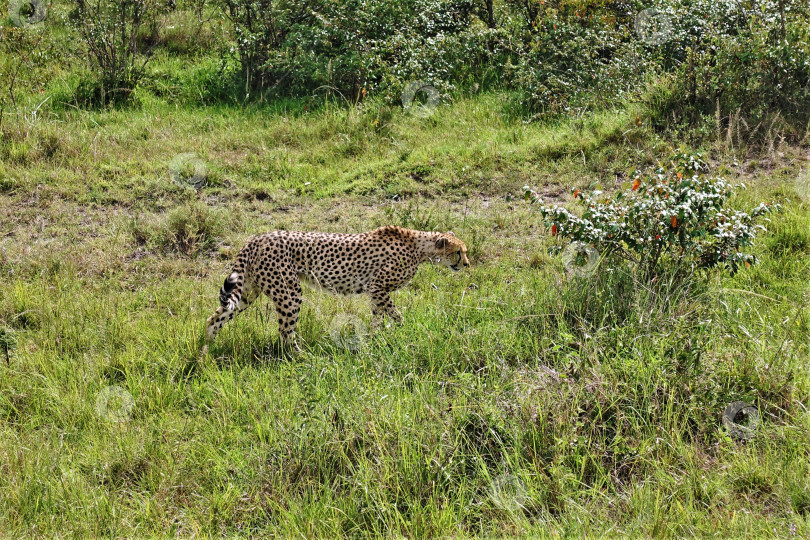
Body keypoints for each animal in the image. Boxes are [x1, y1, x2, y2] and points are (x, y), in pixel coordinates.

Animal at [204, 225, 468, 348]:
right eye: (458, 252)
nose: (466, 264)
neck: (420, 248)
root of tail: (257, 238)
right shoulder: (378, 287)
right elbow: (395, 314)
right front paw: (403, 329)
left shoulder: (376, 293)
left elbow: (378, 317)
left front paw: (374, 338)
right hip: (289, 293)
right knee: (285, 331)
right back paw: (299, 356)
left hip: (248, 291)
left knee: (215, 317)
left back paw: (206, 350)